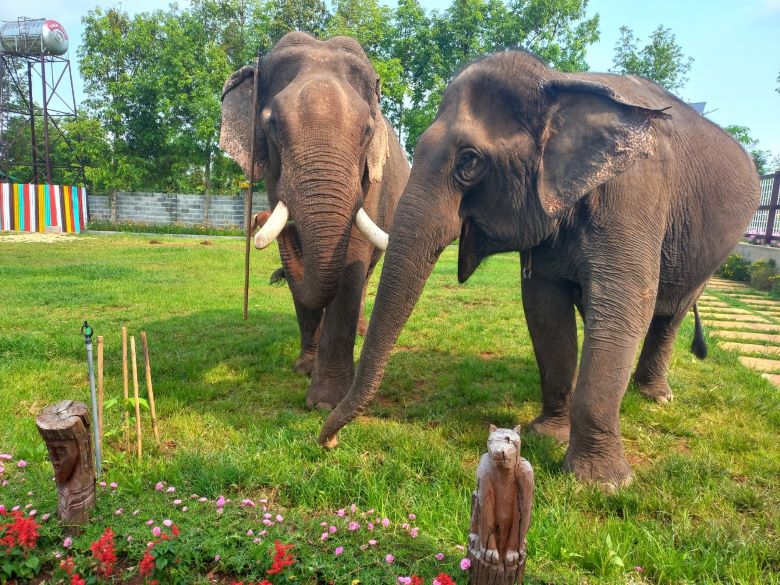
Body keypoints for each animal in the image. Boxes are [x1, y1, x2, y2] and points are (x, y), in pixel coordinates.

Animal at [220, 32, 410, 409]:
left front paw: (325, 402)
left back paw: (362, 332)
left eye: (367, 131)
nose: (259, 217)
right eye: (272, 124)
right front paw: (305, 369)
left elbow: (351, 262)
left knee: (366, 273)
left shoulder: (370, 182)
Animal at [318, 49, 760, 487]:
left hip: (710, 253)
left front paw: (601, 483)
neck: (557, 82)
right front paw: (547, 434)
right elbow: (545, 309)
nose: (328, 441)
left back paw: (655, 396)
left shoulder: (634, 196)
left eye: (469, 161)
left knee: (670, 312)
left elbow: (624, 307)